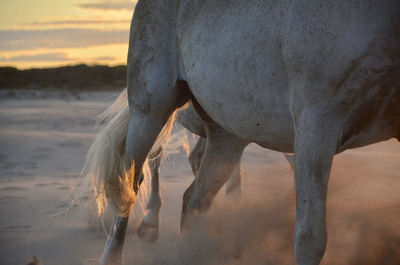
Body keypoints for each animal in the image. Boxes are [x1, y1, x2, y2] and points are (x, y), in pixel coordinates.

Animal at [82, 1, 400, 262]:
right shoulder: (316, 126)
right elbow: (310, 238)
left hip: (226, 135)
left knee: (194, 201)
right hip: (152, 110)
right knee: (134, 182)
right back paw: (140, 232)